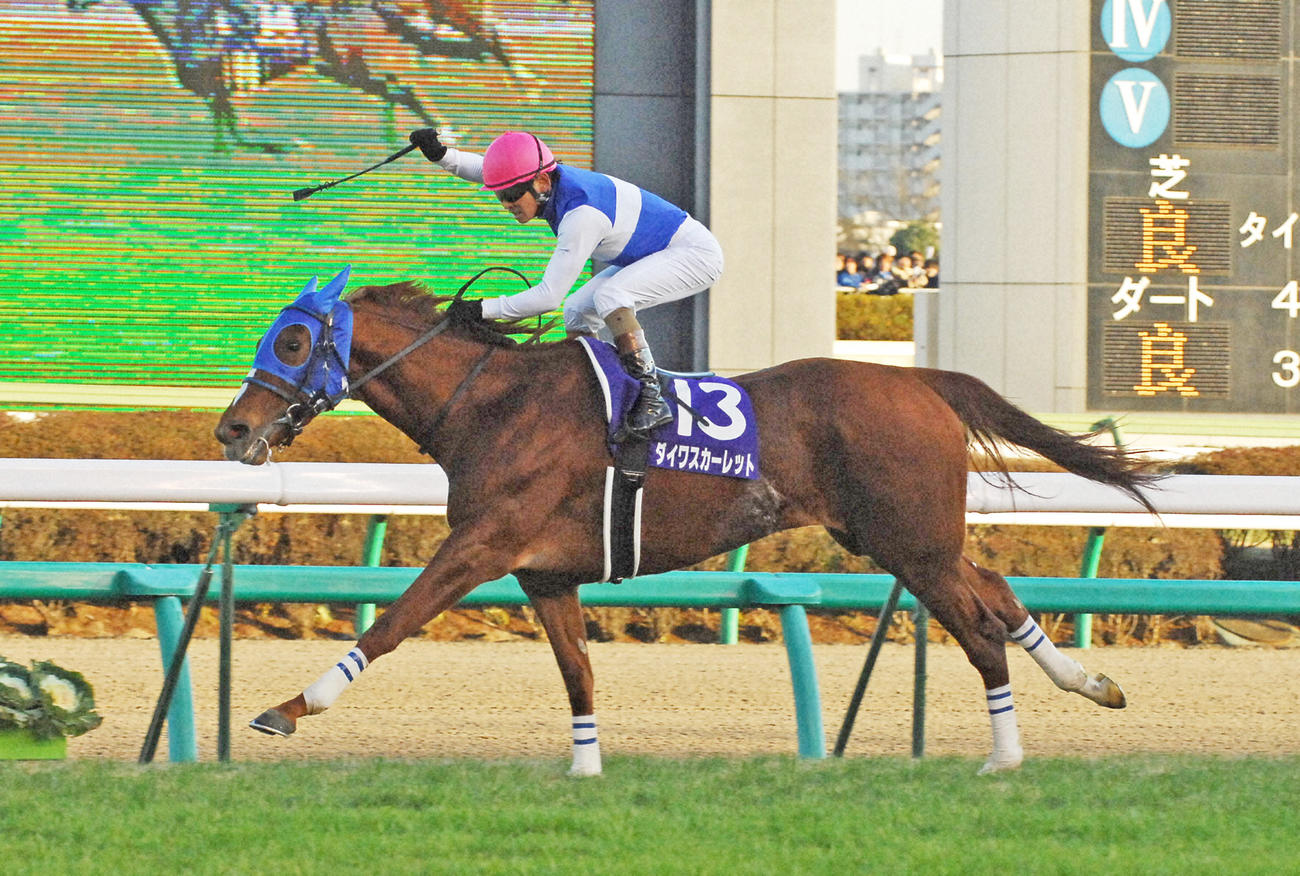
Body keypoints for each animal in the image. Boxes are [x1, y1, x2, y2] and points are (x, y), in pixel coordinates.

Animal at [67, 0, 521, 152]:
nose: (72, 5)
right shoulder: (217, 90)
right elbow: (229, 130)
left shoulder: (223, 80)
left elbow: (237, 130)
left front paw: (281, 146)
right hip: (345, 66)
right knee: (399, 87)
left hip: (350, 63)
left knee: (406, 84)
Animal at [214, 268, 1161, 775]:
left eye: (291, 342)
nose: (229, 429)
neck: (491, 403)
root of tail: (920, 379)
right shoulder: (545, 571)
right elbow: (578, 673)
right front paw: (585, 767)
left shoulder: (482, 544)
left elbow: (396, 620)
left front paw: (291, 707)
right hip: (897, 537)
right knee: (996, 587)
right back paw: (1093, 685)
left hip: (912, 544)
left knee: (978, 628)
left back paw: (1005, 755)